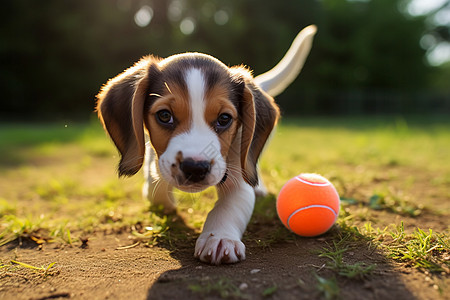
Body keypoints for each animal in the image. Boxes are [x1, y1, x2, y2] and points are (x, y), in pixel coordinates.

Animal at [97, 25, 318, 264]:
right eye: (164, 116)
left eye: (224, 119)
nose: (195, 167)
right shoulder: (152, 160)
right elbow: (156, 190)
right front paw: (166, 201)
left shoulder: (237, 177)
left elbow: (227, 208)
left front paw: (220, 238)